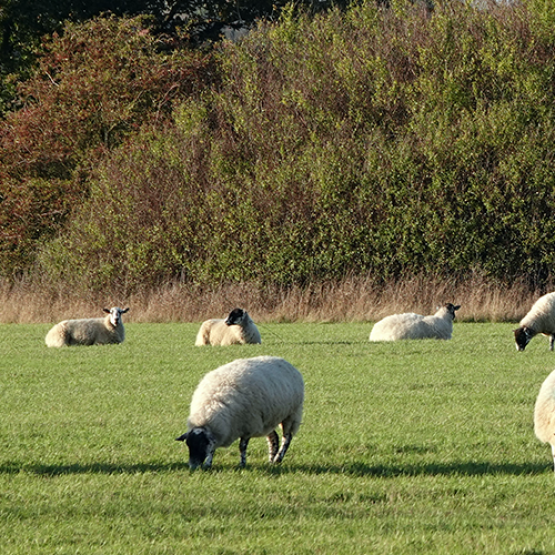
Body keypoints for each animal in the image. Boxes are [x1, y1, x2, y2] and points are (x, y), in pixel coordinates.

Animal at [176, 356, 304, 470]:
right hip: (267, 420)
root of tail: (285, 361)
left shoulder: (248, 426)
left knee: (287, 437)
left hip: (292, 414)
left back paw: (278, 458)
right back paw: (271, 460)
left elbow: (242, 447)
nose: (193, 467)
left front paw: (242, 464)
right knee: (274, 437)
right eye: (188, 444)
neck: (212, 406)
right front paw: (208, 464)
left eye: (202, 444)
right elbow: (212, 449)